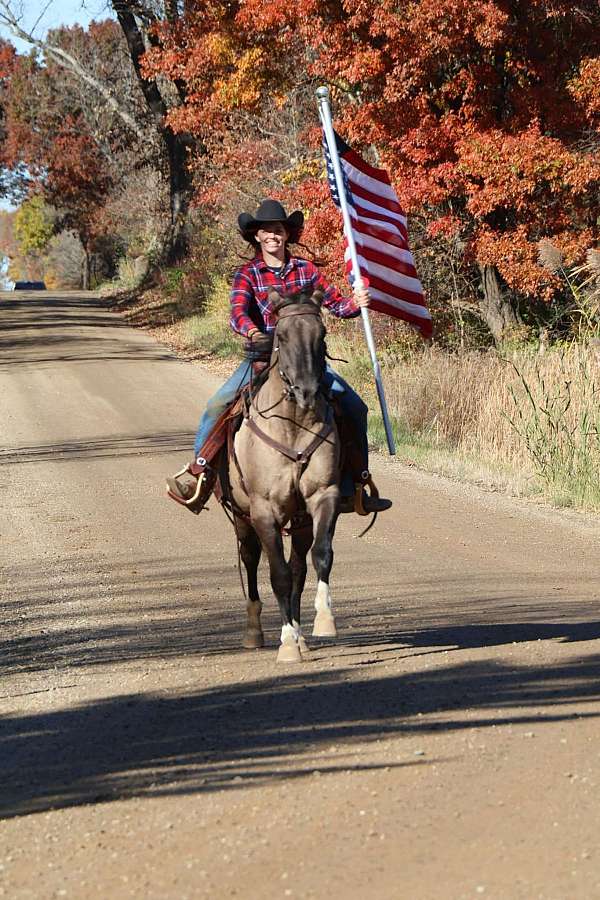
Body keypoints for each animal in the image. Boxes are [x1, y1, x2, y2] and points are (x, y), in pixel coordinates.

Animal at [227, 288, 342, 660]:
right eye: (282, 336)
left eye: (322, 334)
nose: (307, 391)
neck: (293, 423)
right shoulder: (263, 510)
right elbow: (277, 574)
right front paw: (288, 643)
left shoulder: (323, 496)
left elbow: (321, 555)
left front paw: (323, 620)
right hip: (242, 517)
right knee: (251, 559)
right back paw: (256, 631)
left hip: (300, 520)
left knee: (298, 567)